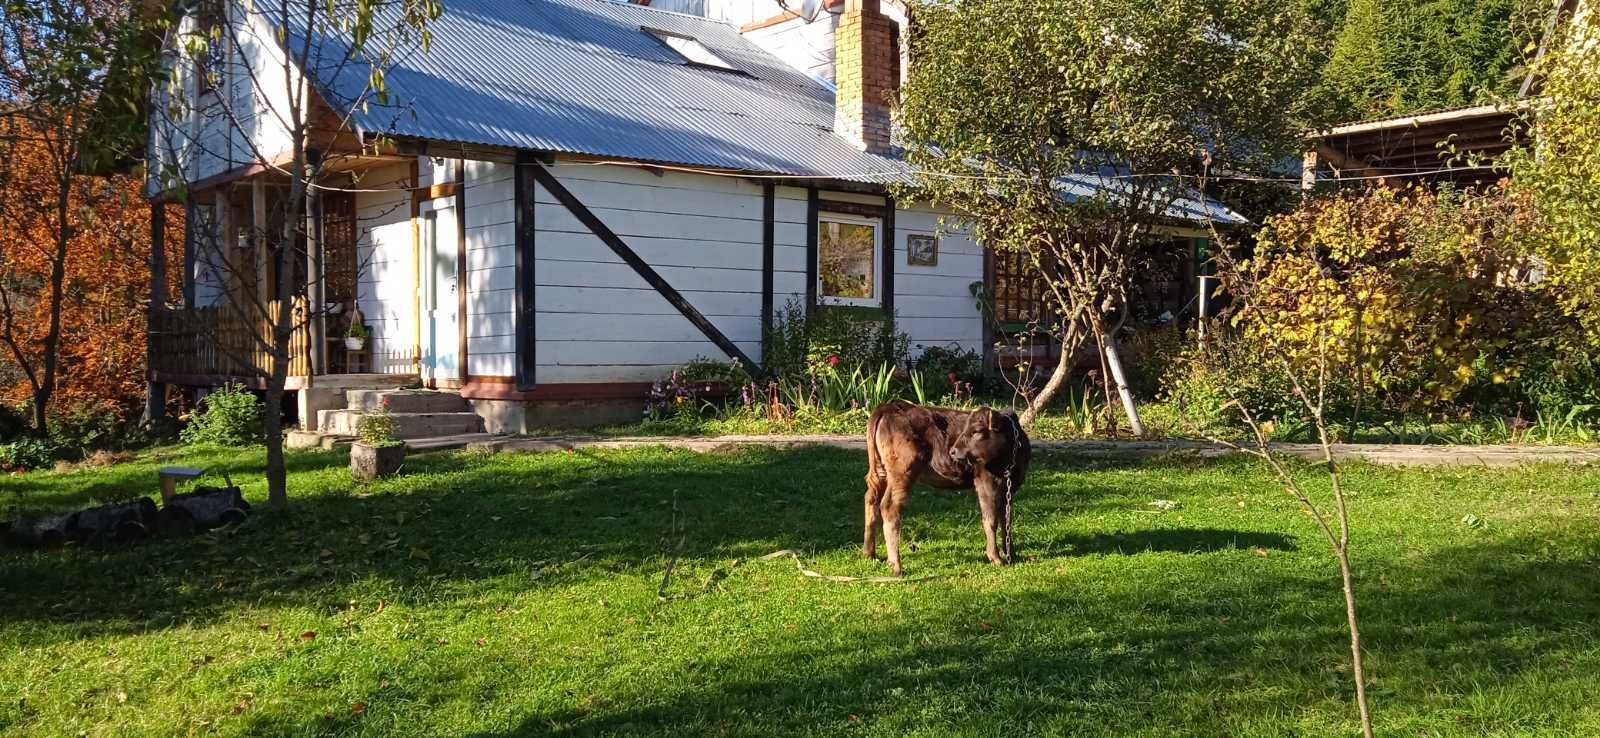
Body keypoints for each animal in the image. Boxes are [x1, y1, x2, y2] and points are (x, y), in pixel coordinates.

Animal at [870, 397, 1030, 576]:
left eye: (977, 430)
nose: (953, 451)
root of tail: (890, 406)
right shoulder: (986, 483)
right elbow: (991, 520)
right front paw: (995, 557)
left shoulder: (1010, 488)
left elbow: (1007, 520)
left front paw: (1012, 554)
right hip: (902, 473)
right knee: (889, 507)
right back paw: (896, 565)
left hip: (880, 472)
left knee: (871, 500)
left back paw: (870, 555)